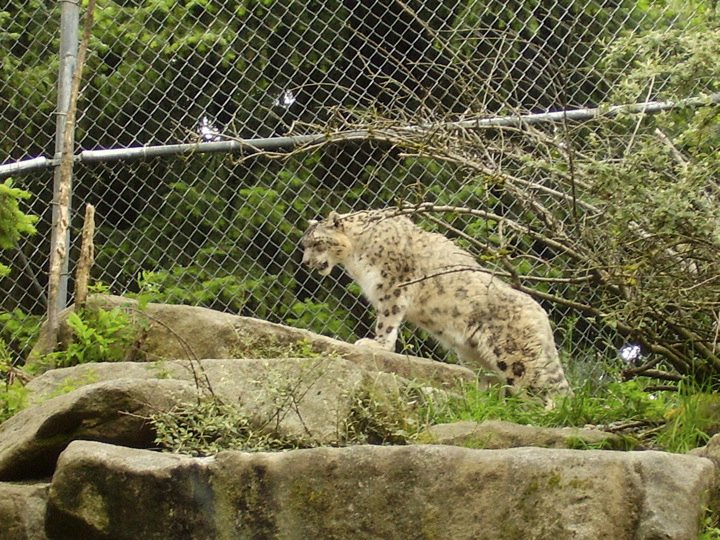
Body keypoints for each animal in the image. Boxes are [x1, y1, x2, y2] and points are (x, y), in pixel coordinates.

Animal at [301, 208, 572, 405]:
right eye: (305, 244)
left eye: (317, 243)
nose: (305, 263)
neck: (355, 259)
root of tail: (541, 314)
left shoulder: (392, 286)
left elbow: (387, 320)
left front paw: (376, 344)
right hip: (476, 358)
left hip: (516, 357)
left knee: (543, 389)